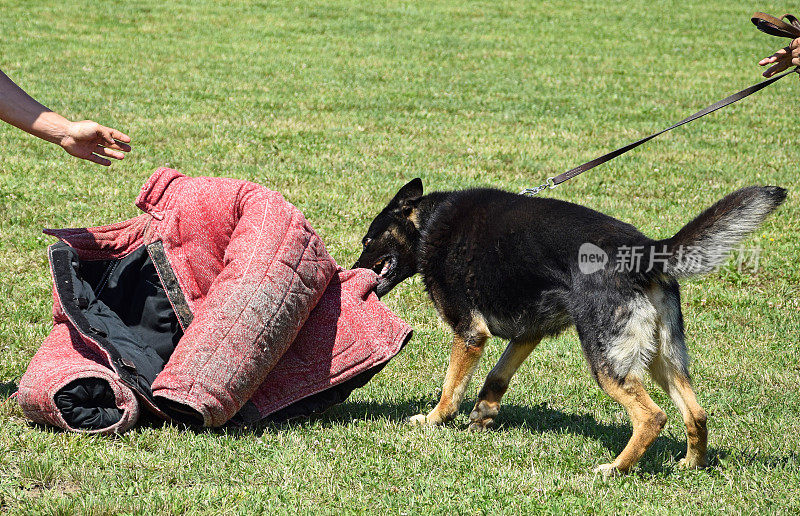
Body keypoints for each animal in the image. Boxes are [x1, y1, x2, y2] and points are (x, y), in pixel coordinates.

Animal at [356, 179, 788, 478]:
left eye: (367, 239)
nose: (354, 268)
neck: (428, 224)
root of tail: (647, 251)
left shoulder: (470, 333)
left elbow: (451, 387)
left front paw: (434, 420)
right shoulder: (528, 333)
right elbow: (498, 376)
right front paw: (484, 412)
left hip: (606, 359)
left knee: (651, 417)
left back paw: (616, 469)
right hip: (662, 359)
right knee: (696, 413)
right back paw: (690, 465)